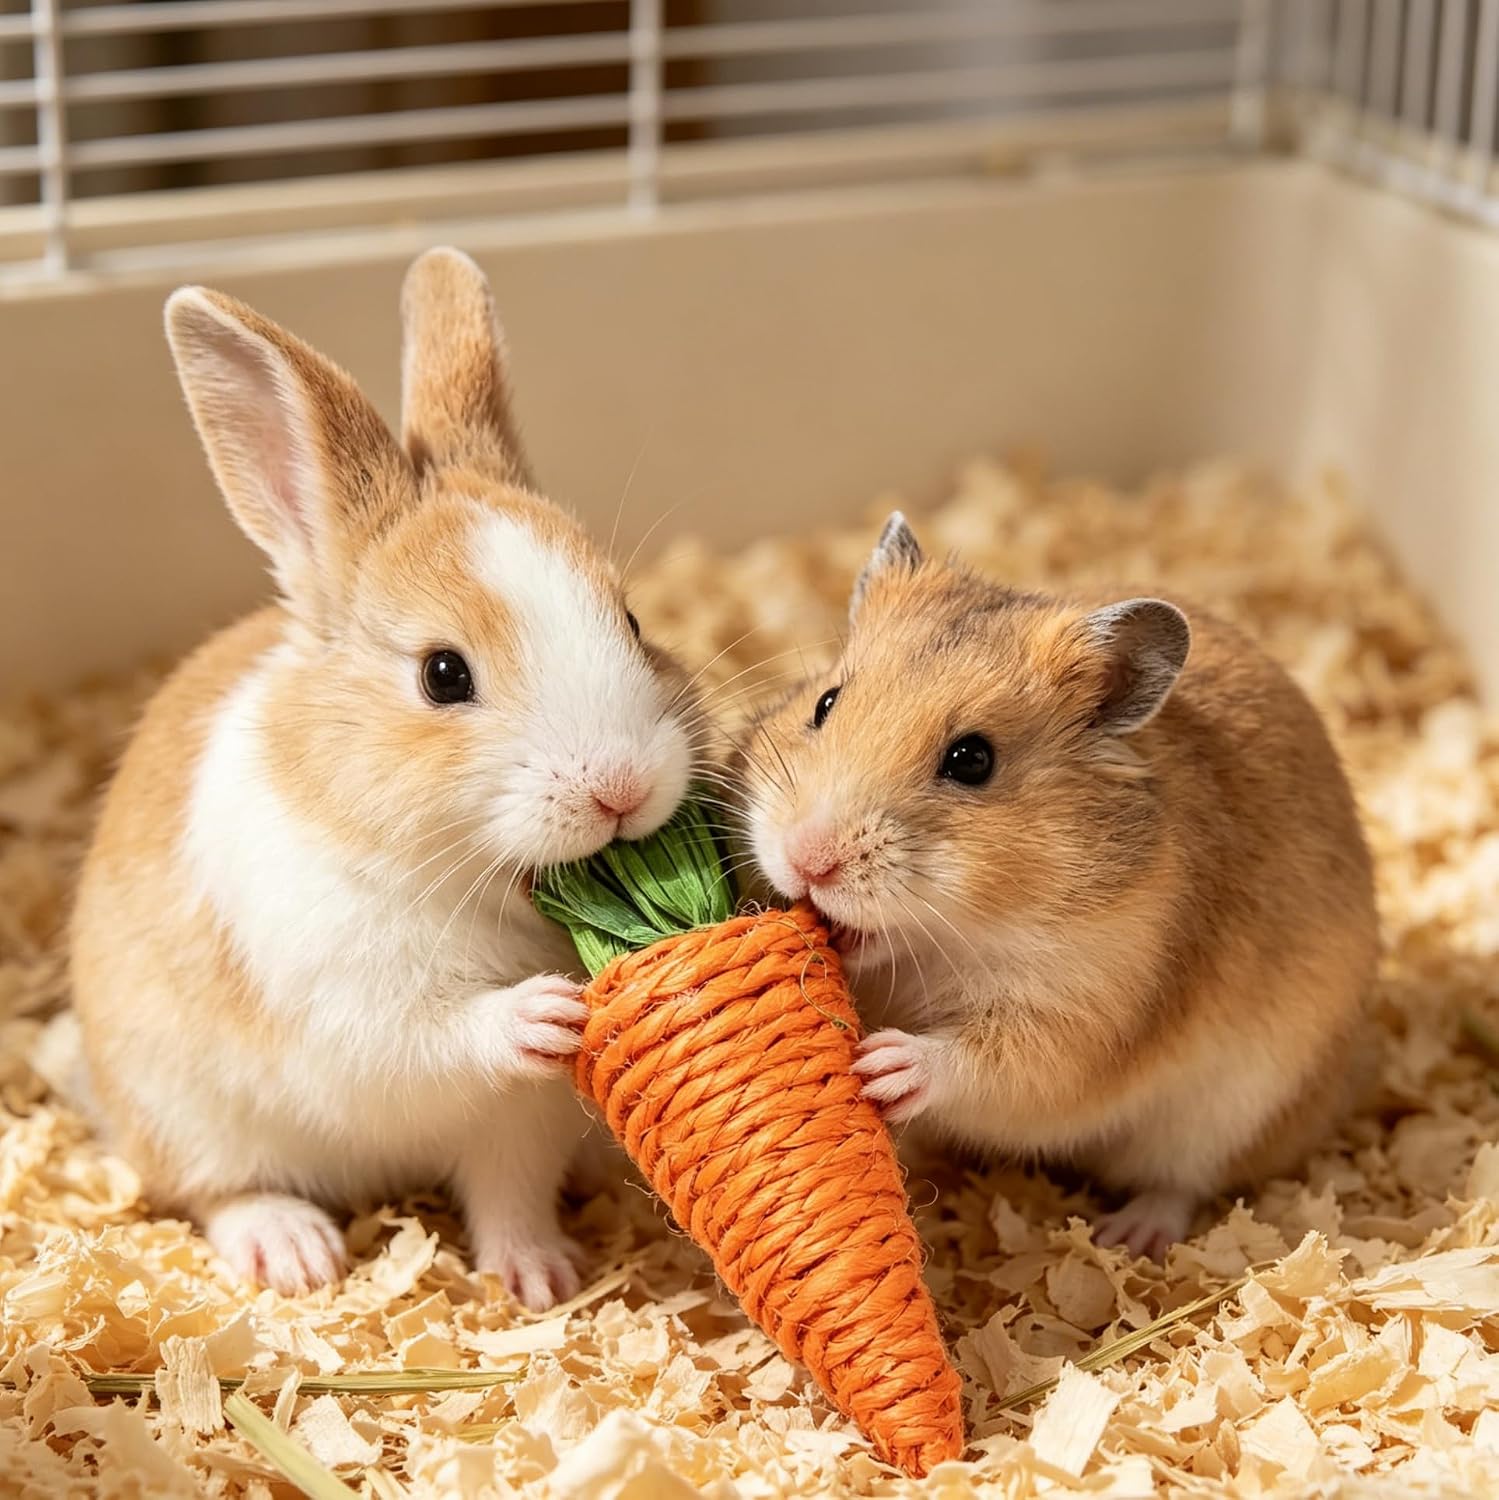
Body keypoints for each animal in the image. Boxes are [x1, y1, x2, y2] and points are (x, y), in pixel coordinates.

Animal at [70, 248, 696, 1309]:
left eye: (632, 620)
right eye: (442, 675)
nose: (620, 789)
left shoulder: (516, 1129)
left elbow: (509, 1196)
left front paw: (540, 1281)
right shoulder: (351, 1009)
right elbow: (432, 1036)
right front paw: (545, 1011)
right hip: (185, 1116)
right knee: (214, 1191)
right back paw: (294, 1252)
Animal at [744, 513, 1377, 1259]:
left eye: (972, 759)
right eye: (824, 702)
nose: (806, 861)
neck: (955, 937)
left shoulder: (1087, 1011)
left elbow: (996, 1062)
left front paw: (882, 1067)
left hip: (1234, 1108)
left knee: (1181, 1181)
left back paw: (1125, 1237)